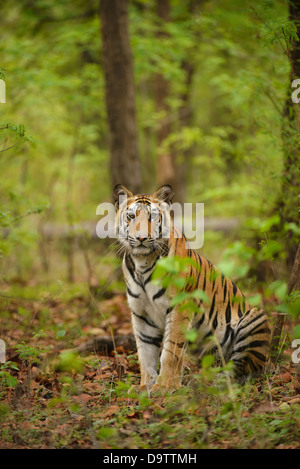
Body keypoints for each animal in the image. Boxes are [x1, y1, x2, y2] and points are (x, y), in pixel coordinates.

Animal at [113, 185, 272, 394]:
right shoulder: (141, 312)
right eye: (131, 216)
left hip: (256, 318)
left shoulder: (180, 305)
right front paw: (144, 386)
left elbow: (171, 350)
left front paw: (165, 386)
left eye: (152, 217)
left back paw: (208, 382)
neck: (142, 262)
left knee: (240, 369)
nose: (141, 238)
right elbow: (145, 353)